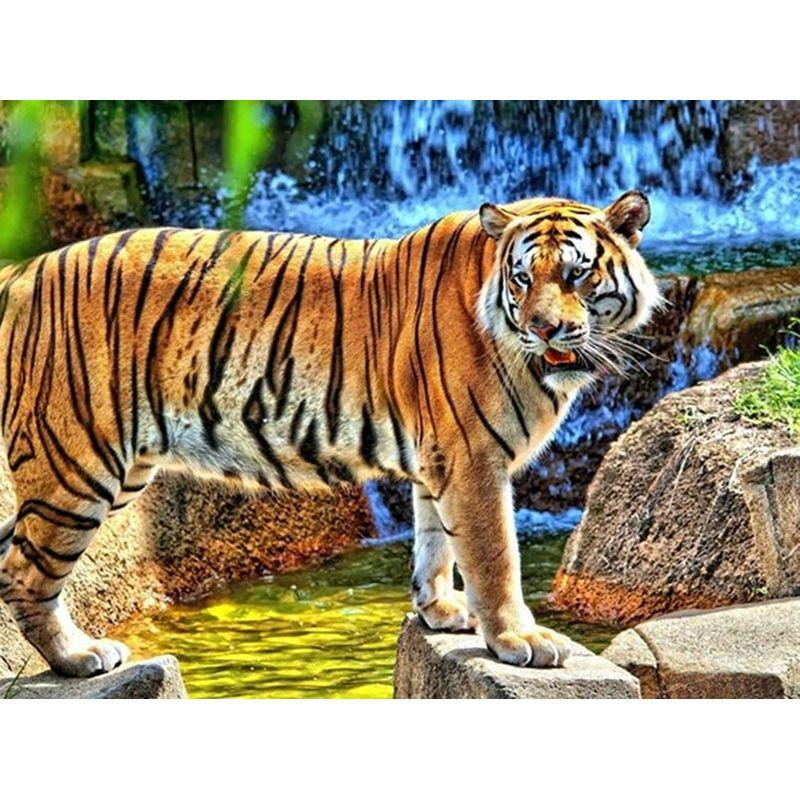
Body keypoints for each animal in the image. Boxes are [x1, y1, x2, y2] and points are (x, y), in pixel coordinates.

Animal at [0, 190, 660, 677]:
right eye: (522, 279)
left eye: (577, 276)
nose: (545, 329)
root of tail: (21, 271)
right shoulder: (472, 458)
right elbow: (495, 554)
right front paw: (518, 638)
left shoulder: (441, 458)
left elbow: (434, 540)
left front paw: (440, 611)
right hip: (77, 465)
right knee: (25, 573)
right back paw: (79, 656)